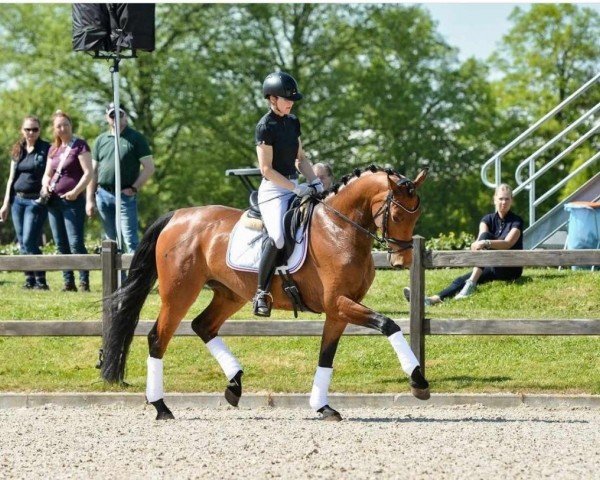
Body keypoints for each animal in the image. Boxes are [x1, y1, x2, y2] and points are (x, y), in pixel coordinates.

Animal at [102, 166, 432, 420]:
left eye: (416, 216)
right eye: (397, 215)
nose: (402, 261)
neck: (339, 228)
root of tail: (178, 216)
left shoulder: (338, 310)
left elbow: (326, 355)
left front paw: (322, 406)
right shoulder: (339, 303)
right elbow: (389, 324)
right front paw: (418, 381)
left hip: (230, 294)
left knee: (203, 326)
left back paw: (234, 386)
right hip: (179, 292)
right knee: (158, 337)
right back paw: (161, 406)